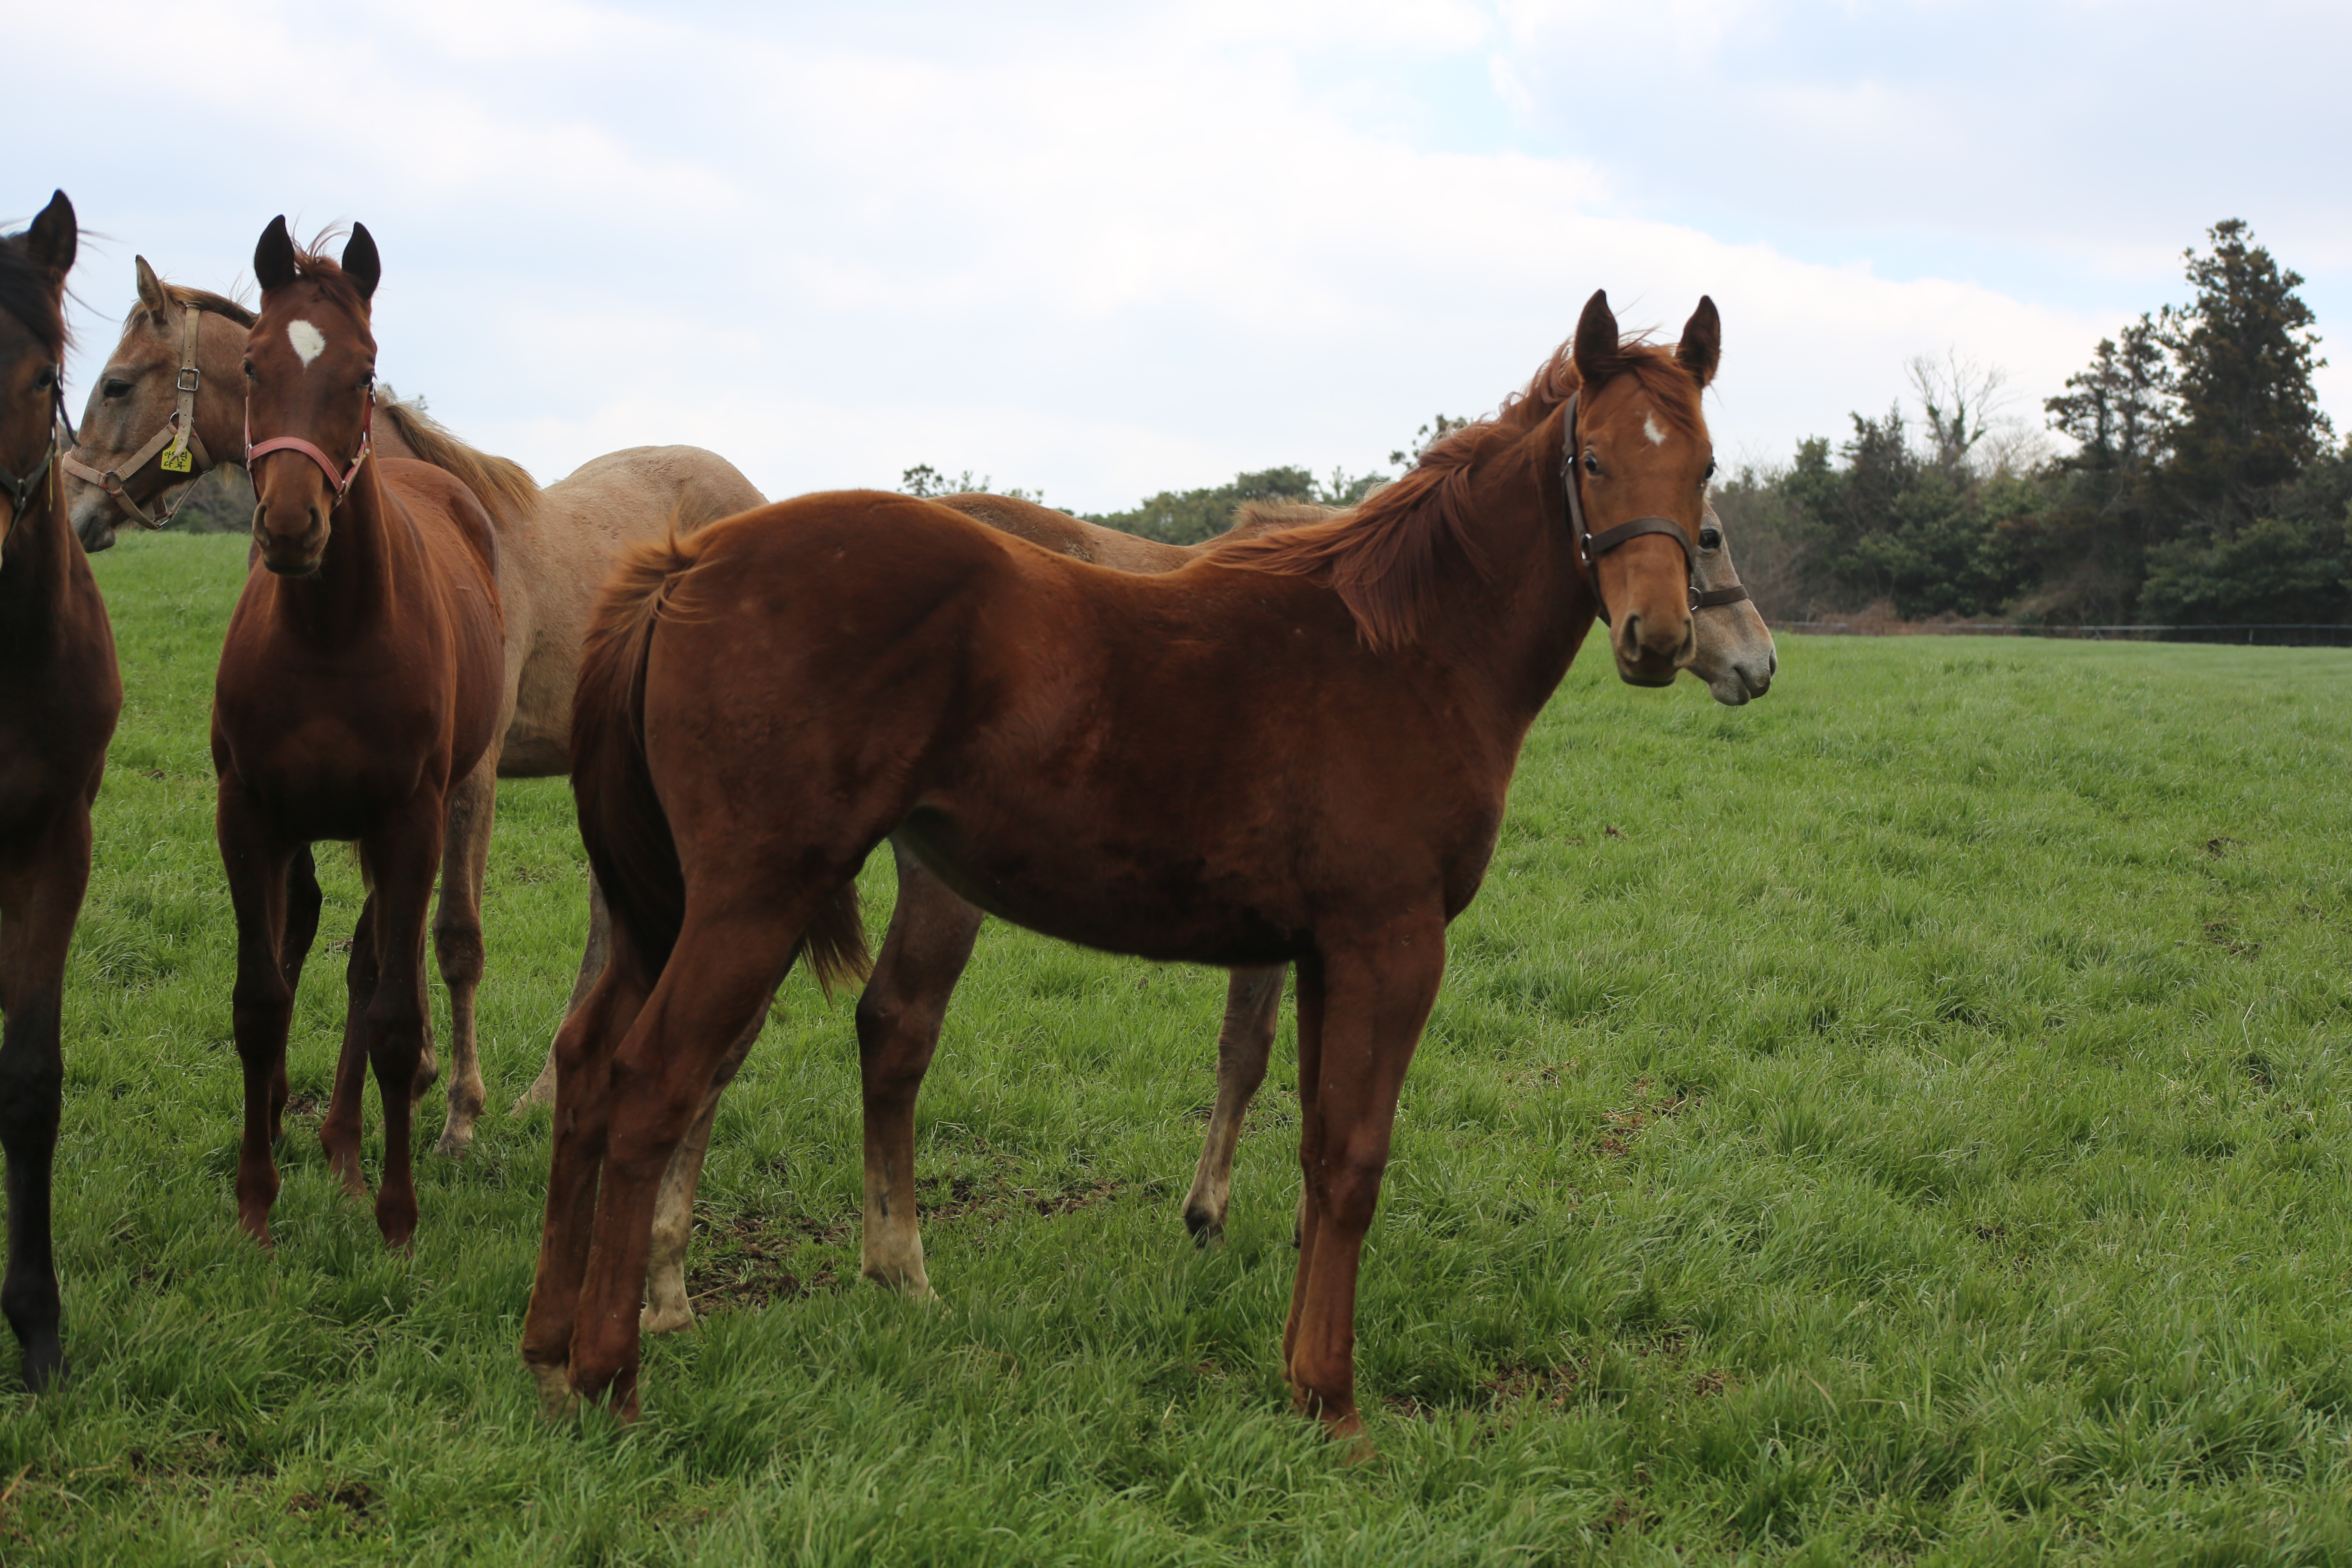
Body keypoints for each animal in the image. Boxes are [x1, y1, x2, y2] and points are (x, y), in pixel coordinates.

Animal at [213, 221, 506, 1250]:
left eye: (365, 368)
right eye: (252, 363)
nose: (292, 524)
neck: (330, 638)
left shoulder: (406, 821)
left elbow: (391, 1013)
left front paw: (396, 1217)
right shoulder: (249, 815)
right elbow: (260, 1001)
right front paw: (254, 1206)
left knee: (373, 970)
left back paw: (347, 1154)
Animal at [635, 493, 1768, 1335]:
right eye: (1710, 533)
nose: (1757, 663)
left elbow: (1253, 1054)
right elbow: (1250, 1056)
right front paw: (1213, 1216)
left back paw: (670, 1278)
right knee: (873, 1028)